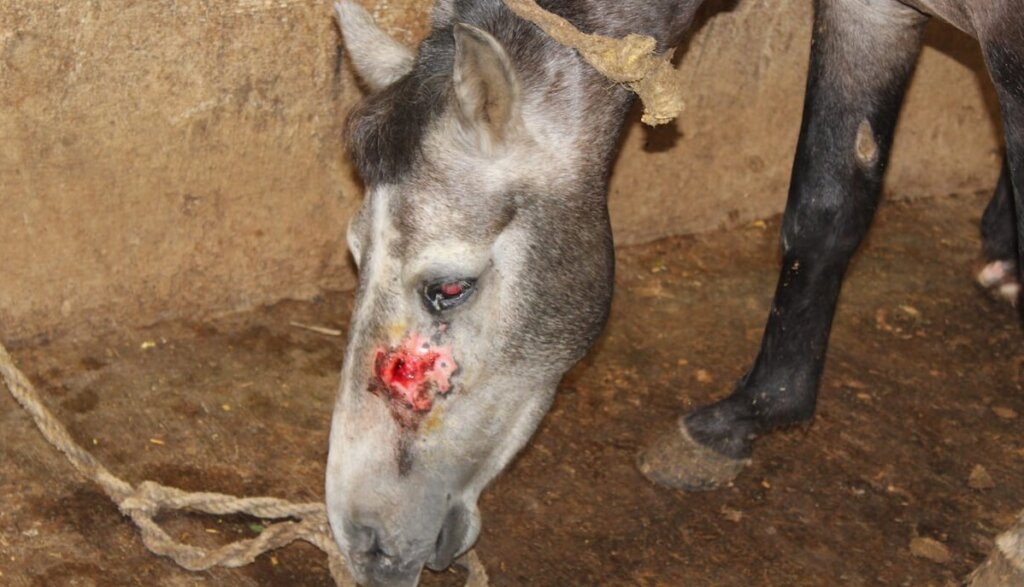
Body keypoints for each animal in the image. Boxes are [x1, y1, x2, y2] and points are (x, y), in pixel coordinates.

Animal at [325, 2, 1024, 581]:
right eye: (355, 257)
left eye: (449, 287)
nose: (362, 543)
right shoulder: (871, 14)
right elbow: (826, 210)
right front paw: (749, 414)